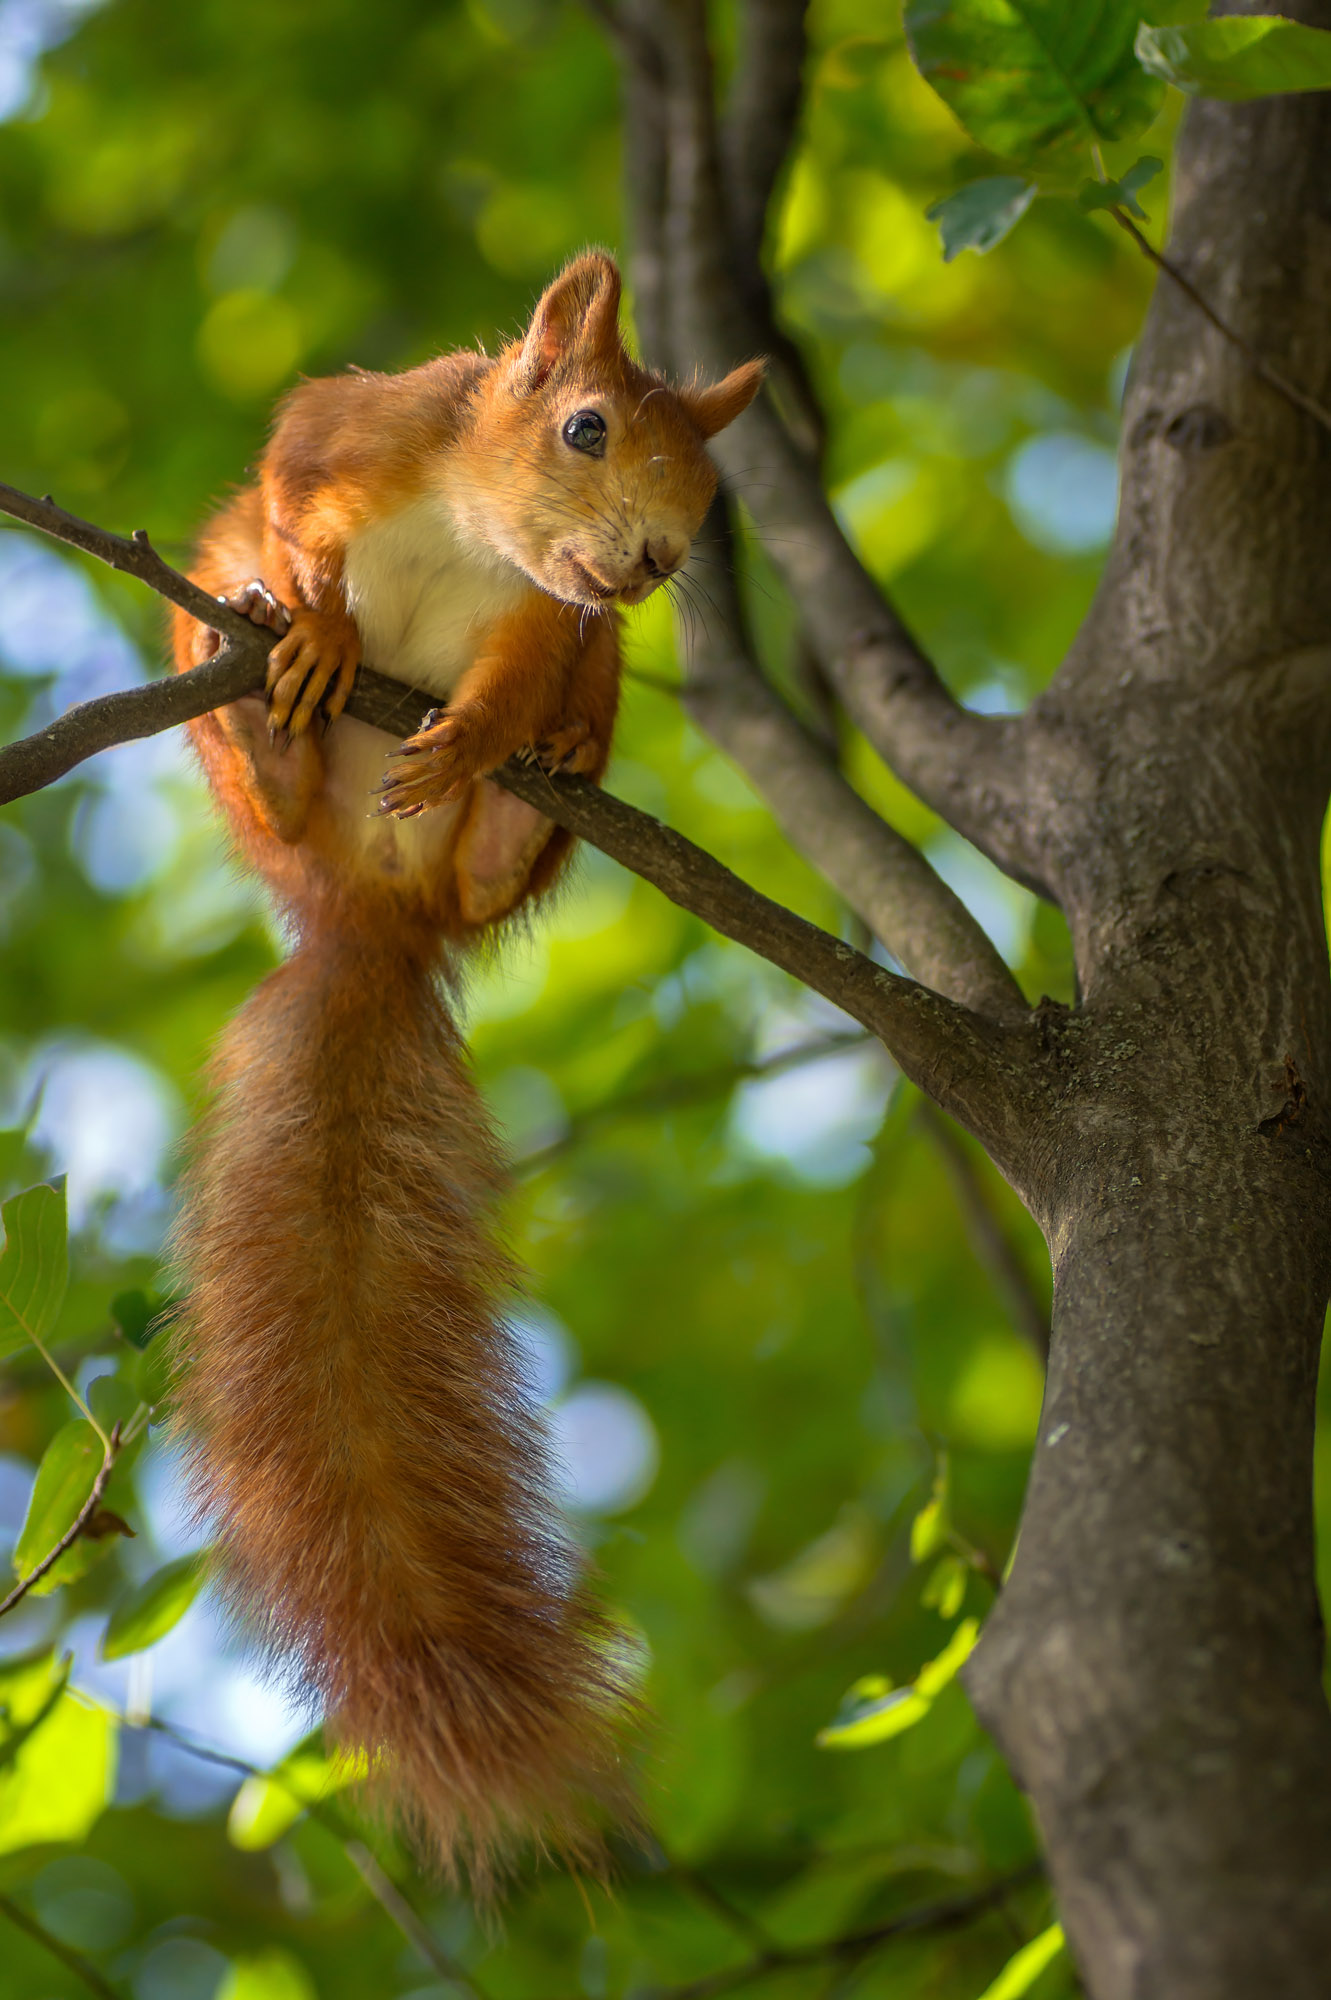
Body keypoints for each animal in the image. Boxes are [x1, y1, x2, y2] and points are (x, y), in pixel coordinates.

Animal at [170, 246, 763, 1872]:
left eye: (709, 491)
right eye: (584, 427)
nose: (649, 563)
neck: (470, 521)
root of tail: (367, 912)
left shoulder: (545, 622)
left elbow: (514, 664)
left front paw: (487, 734)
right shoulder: (344, 433)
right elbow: (294, 491)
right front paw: (318, 619)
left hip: (593, 691)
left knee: (517, 818)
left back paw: (516, 800)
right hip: (215, 696)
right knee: (240, 674)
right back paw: (273, 718)